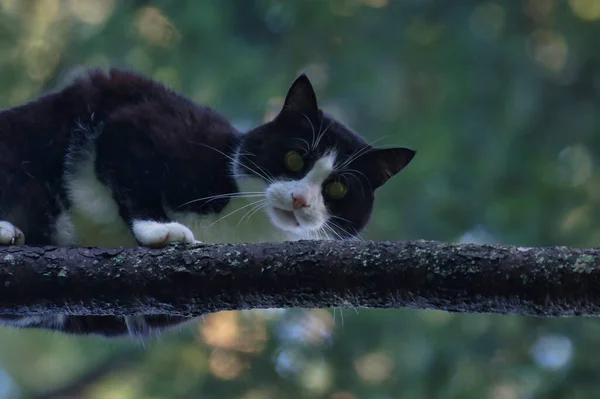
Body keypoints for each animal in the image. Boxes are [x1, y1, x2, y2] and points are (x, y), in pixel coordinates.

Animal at [0, 68, 414, 338]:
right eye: (295, 158)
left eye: (339, 189)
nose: (299, 199)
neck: (241, 220)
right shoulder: (145, 124)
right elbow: (133, 169)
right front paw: (160, 230)